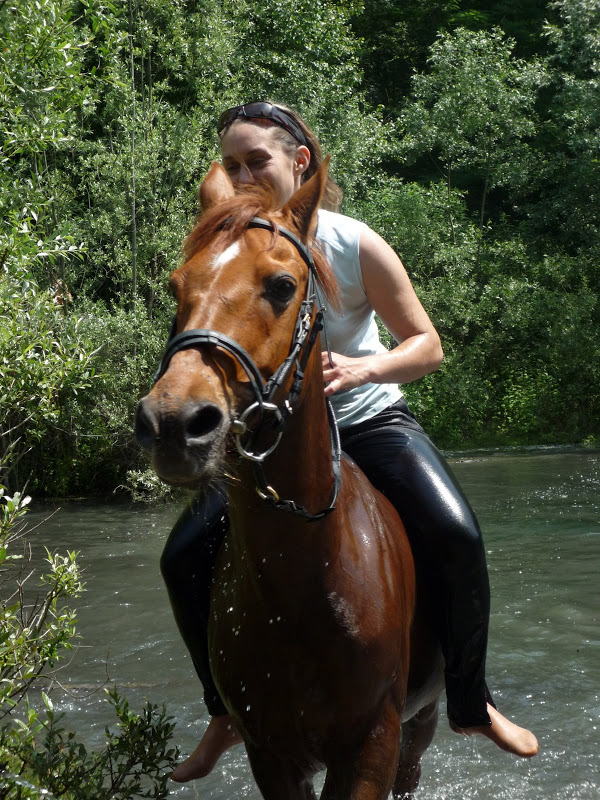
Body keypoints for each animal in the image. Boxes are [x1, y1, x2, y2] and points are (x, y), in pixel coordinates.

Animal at [137, 159, 446, 796]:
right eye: (177, 287)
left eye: (282, 286)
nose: (175, 422)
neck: (307, 577)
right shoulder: (272, 752)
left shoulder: (373, 744)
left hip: (420, 722)